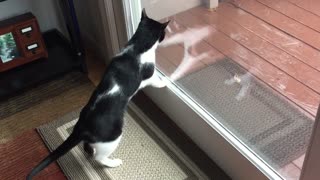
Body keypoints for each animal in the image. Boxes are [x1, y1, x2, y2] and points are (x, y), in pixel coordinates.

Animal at [26, 9, 170, 179]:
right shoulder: (149, 75)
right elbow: (157, 81)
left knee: (88, 147)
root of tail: (82, 127)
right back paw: (113, 162)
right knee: (99, 157)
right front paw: (166, 81)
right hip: (113, 136)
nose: (165, 35)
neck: (136, 47)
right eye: (163, 33)